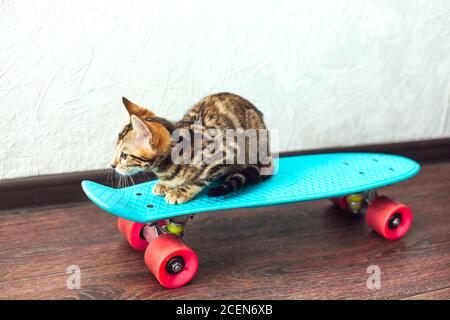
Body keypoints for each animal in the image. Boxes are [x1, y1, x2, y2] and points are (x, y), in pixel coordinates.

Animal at [112, 92, 274, 205]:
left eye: (124, 155)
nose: (112, 165)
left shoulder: (226, 152)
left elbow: (200, 179)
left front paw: (181, 191)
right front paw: (165, 185)